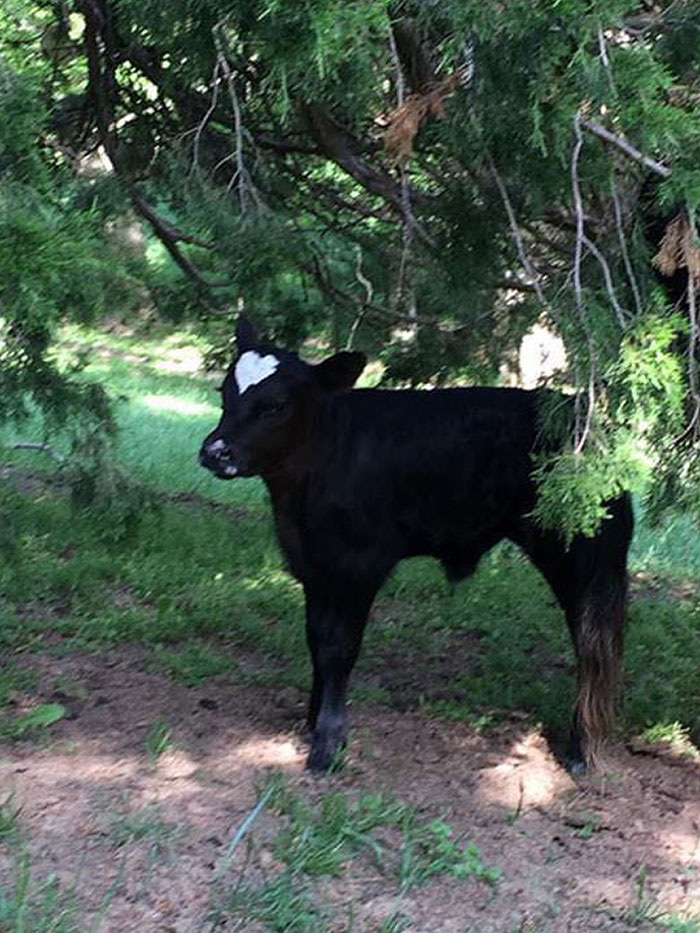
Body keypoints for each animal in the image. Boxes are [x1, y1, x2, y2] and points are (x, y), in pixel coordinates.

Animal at [199, 316, 633, 774]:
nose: (215, 451)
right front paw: (312, 722)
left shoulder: (359, 566)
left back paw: (581, 750)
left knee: (592, 647)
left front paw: (328, 743)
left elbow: (339, 648)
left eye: (275, 405)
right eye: (225, 391)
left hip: (580, 558)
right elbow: (316, 640)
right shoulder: (313, 567)